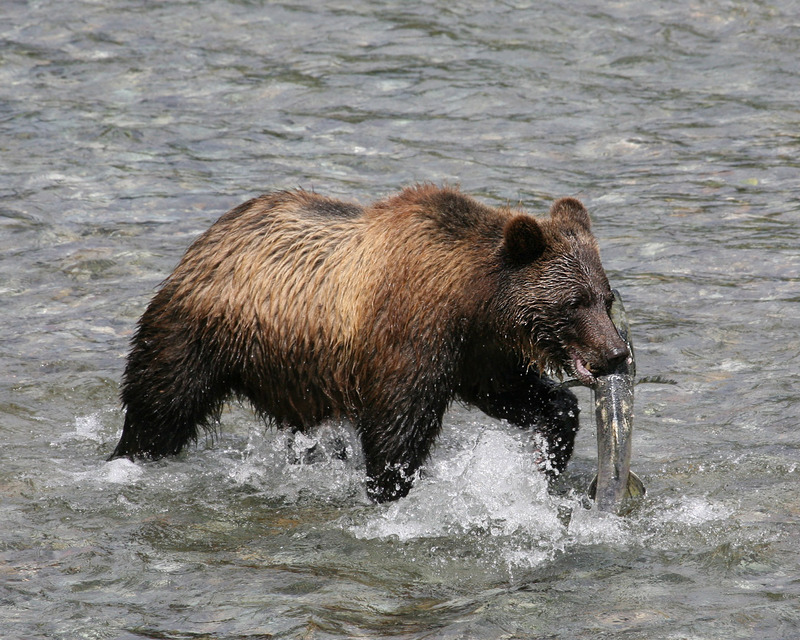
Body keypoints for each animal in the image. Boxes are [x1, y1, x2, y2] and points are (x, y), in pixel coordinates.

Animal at [109, 182, 628, 502]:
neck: (471, 300)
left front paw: (549, 455)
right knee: (160, 403)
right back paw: (128, 455)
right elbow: (397, 429)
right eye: (575, 302)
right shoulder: (411, 335)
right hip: (199, 331)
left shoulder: (479, 353)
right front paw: (390, 490)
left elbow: (520, 396)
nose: (616, 353)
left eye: (606, 297)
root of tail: (211, 234)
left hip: (286, 370)